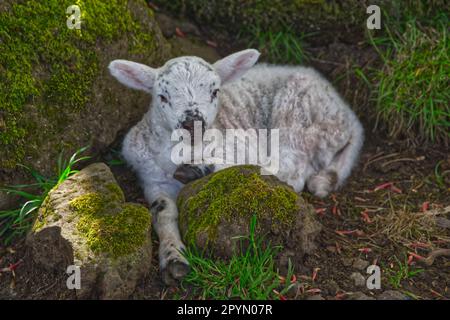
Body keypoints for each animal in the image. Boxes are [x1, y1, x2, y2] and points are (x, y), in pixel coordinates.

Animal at [109, 50, 366, 284]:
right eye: (162, 97)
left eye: (215, 91)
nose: (193, 122)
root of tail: (350, 118)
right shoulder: (152, 178)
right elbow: (162, 212)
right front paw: (173, 258)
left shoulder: (243, 143)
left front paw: (200, 168)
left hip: (299, 113)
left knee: (292, 168)